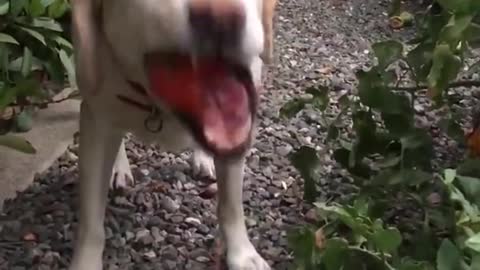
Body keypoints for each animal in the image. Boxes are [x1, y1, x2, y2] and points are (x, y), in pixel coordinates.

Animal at [69, 0, 276, 270]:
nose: (222, 18)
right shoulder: (96, 118)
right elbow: (91, 221)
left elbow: (231, 205)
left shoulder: (237, 131)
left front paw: (242, 255)